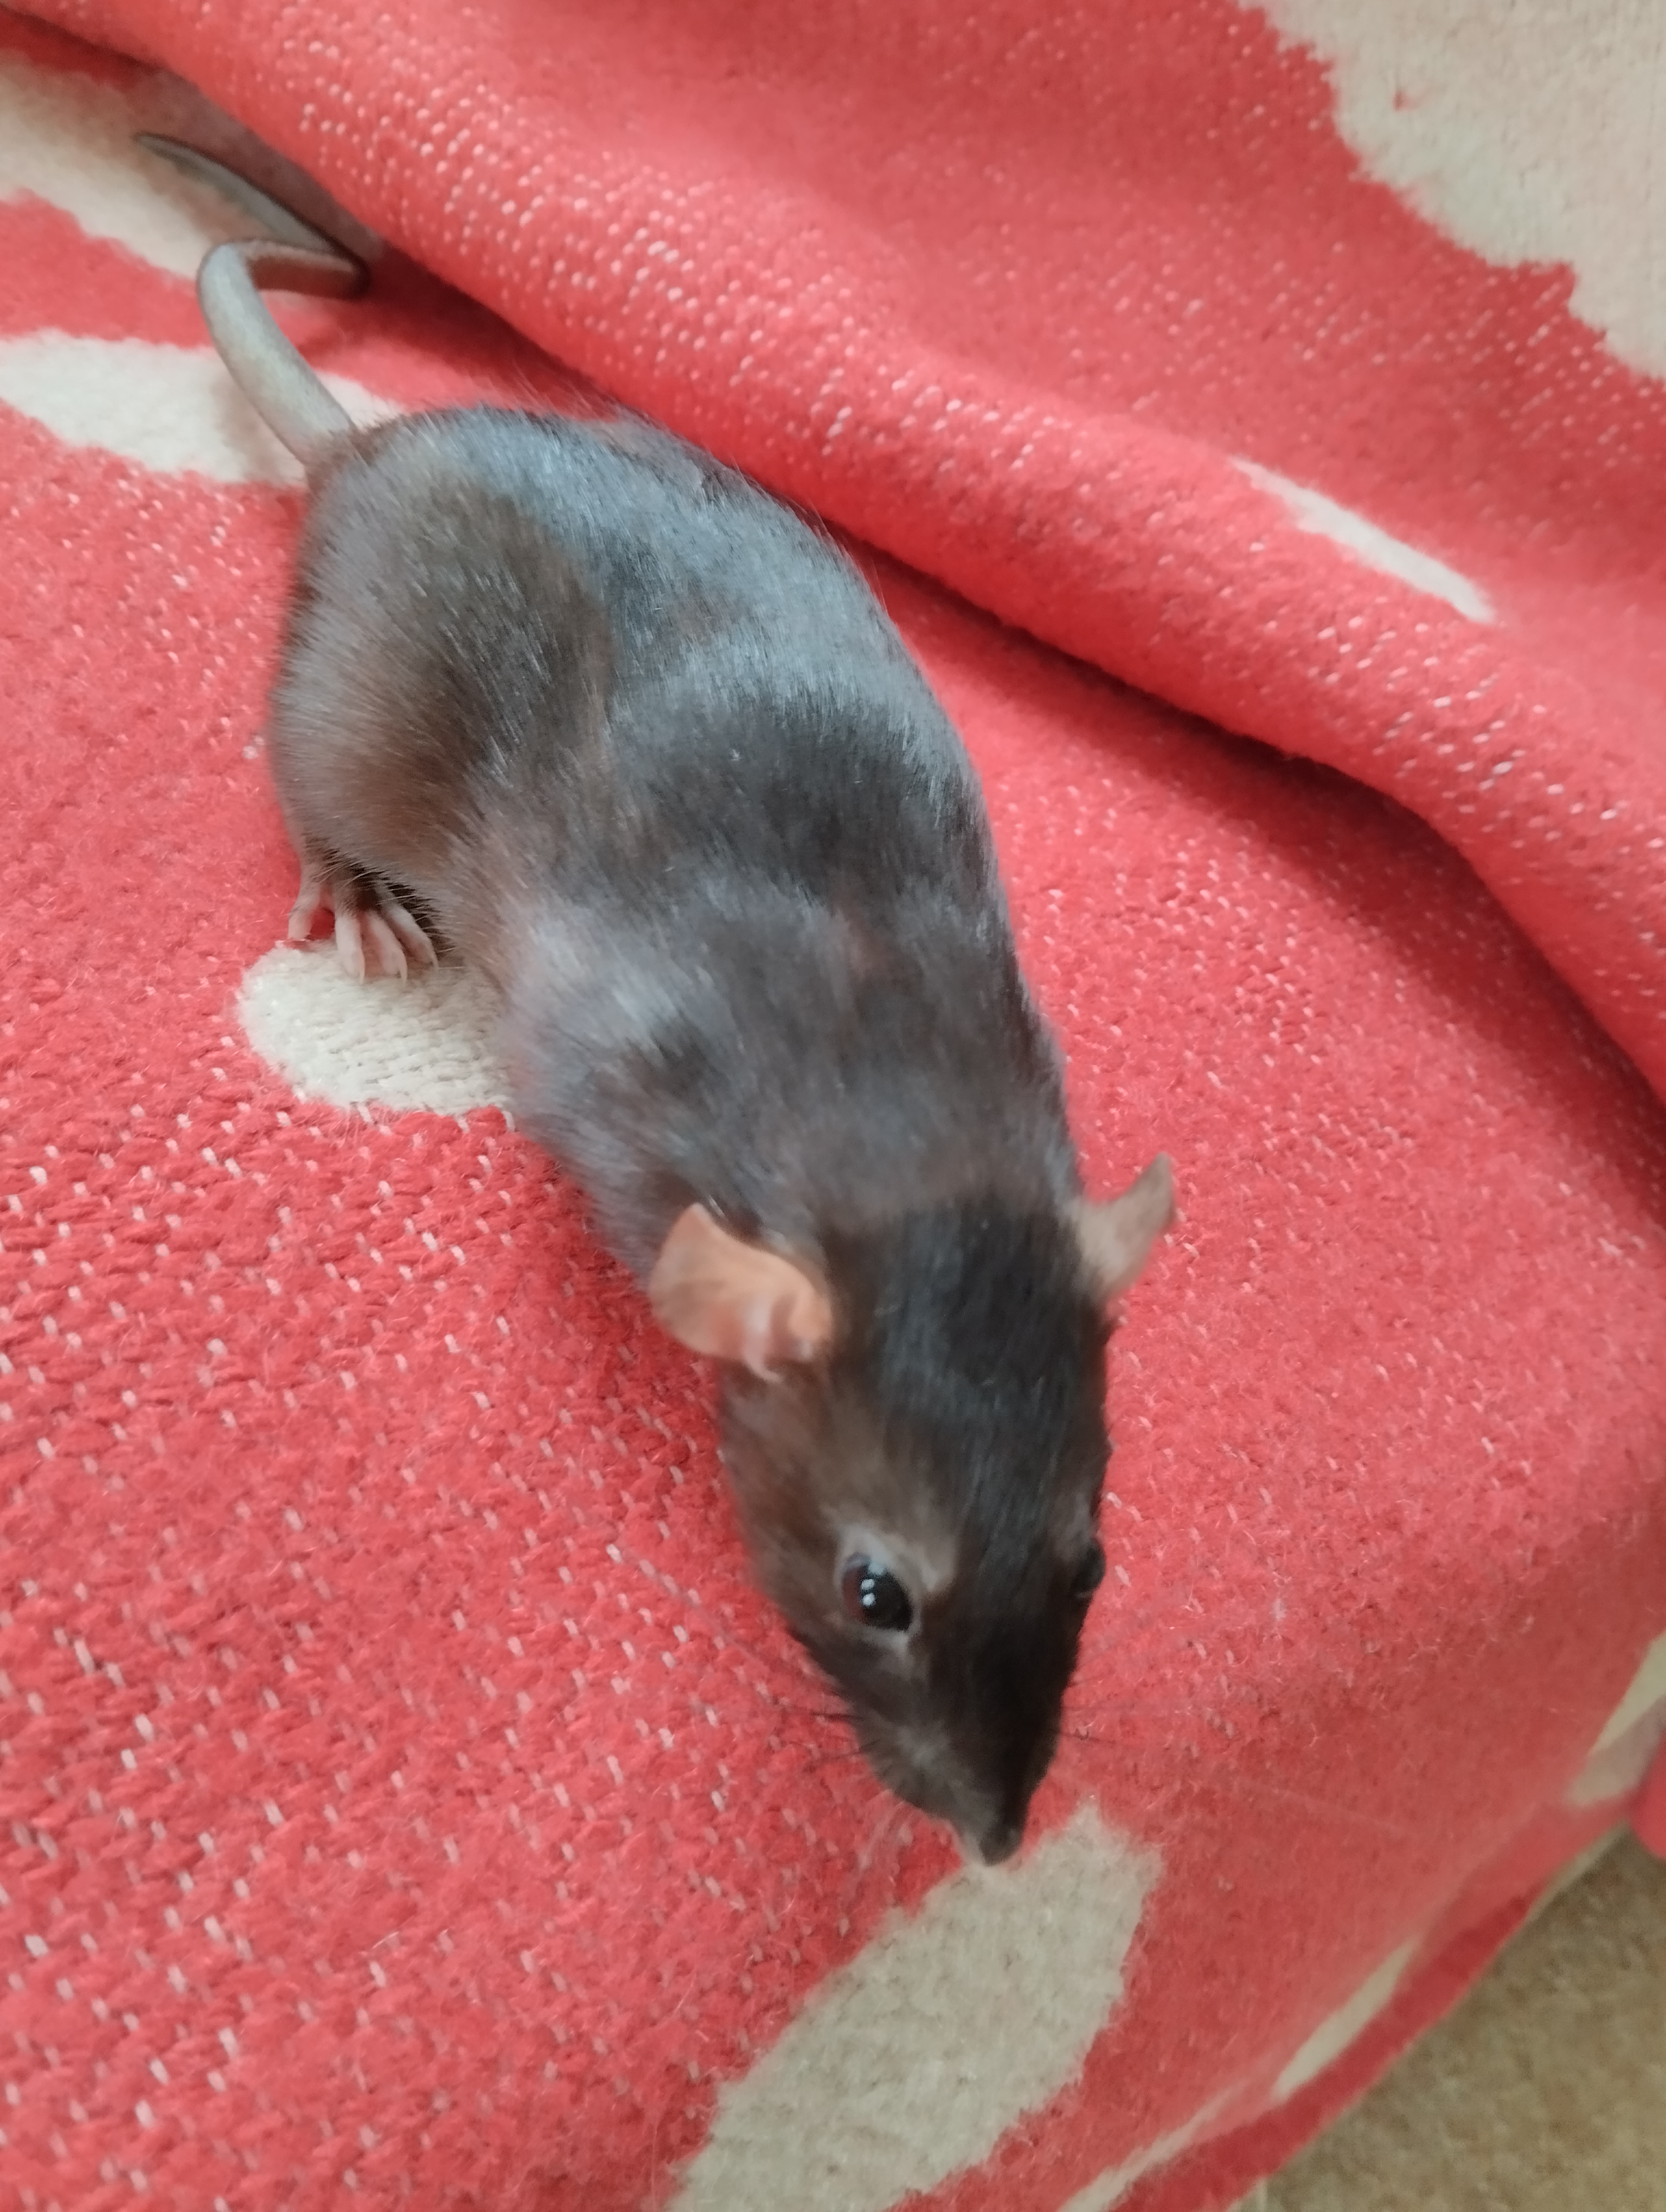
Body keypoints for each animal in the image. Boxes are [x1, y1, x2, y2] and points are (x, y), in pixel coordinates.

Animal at [143, 138, 1175, 1864]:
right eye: (875, 1592)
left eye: (1087, 1558)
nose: (996, 1838)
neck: (897, 1120)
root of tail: (369, 456)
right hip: (334, 712)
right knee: (301, 780)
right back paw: (354, 886)